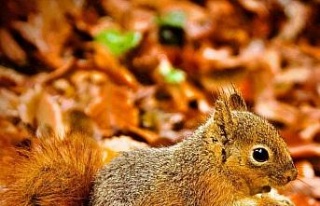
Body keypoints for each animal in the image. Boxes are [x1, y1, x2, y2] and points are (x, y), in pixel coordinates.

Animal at [0, 89, 298, 206]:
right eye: (259, 154)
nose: (293, 175)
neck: (212, 164)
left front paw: (279, 198)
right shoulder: (206, 192)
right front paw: (269, 201)